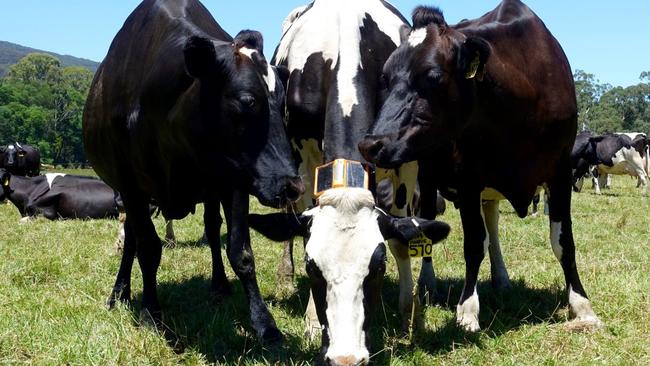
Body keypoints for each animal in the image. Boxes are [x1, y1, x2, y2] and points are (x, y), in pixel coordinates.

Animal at [81, 0, 302, 344]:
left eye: (282, 104)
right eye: (247, 101)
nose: (291, 186)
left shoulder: (235, 180)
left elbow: (241, 252)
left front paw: (266, 325)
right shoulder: (131, 186)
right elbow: (148, 247)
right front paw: (150, 313)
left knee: (212, 227)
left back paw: (219, 285)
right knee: (132, 239)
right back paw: (120, 293)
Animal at [356, 0, 600, 332]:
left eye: (433, 76)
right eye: (386, 78)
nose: (372, 143)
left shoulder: (560, 173)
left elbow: (563, 242)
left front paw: (582, 304)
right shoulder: (467, 180)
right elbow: (473, 244)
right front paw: (468, 310)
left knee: (492, 222)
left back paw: (501, 277)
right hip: (424, 177)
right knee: (428, 220)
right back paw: (428, 283)